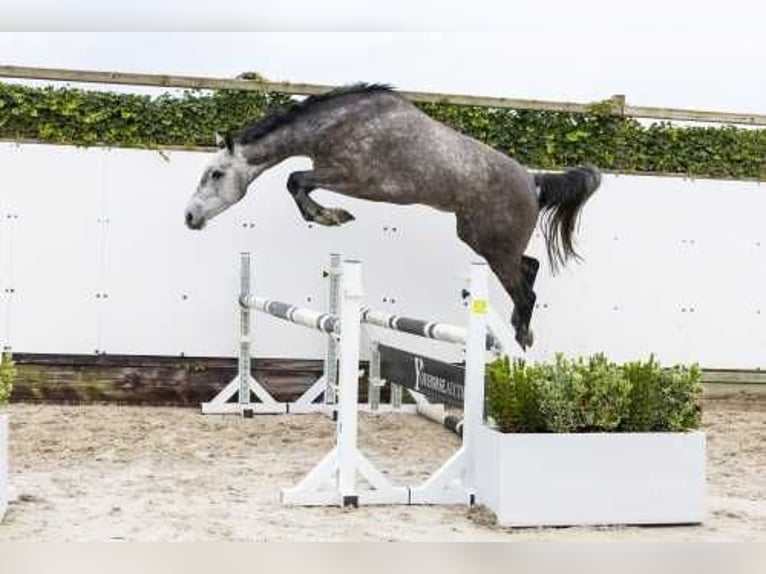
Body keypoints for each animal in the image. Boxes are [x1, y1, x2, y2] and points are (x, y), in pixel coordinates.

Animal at [184, 82, 600, 348]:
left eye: (215, 174)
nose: (189, 217)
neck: (337, 124)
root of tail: (533, 180)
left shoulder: (352, 177)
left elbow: (294, 179)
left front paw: (331, 216)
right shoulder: (332, 173)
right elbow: (298, 183)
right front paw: (328, 215)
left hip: (492, 246)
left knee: (526, 291)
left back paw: (521, 337)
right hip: (479, 238)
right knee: (529, 268)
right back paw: (518, 328)